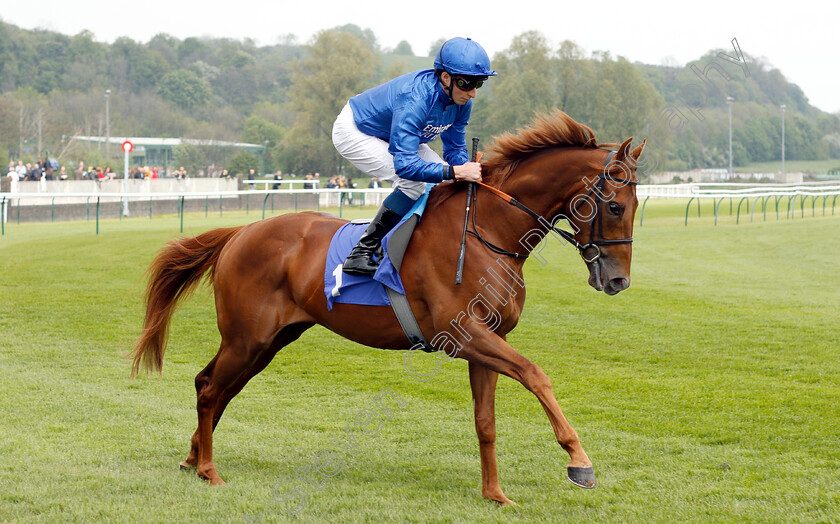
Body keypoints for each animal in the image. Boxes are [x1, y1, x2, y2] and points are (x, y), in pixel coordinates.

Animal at [131, 109, 648, 504]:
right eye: (616, 207)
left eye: (637, 205)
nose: (618, 281)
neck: (489, 231)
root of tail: (240, 232)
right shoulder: (464, 336)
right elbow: (536, 375)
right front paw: (579, 461)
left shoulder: (488, 342)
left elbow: (486, 422)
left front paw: (495, 494)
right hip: (247, 336)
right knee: (210, 389)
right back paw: (209, 470)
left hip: (268, 340)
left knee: (217, 386)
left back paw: (193, 458)